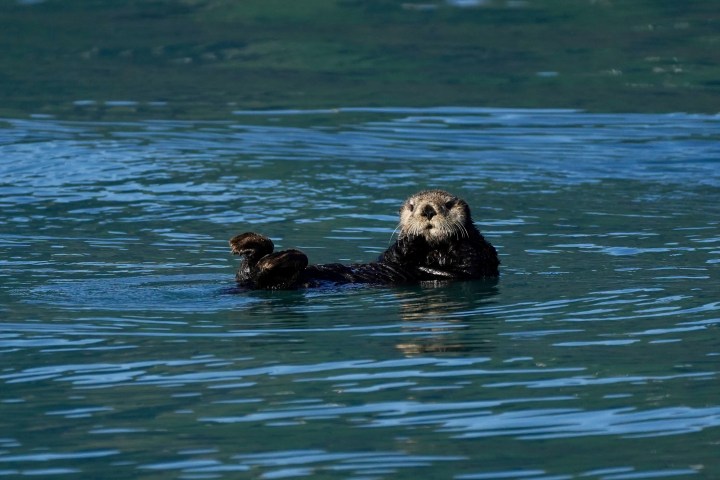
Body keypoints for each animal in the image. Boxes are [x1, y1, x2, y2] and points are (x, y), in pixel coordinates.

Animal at [230, 190, 499, 289]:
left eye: (448, 204)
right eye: (413, 206)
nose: (428, 211)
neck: (433, 251)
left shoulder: (482, 258)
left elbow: (470, 261)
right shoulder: (391, 256)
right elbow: (392, 256)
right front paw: (411, 238)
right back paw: (245, 242)